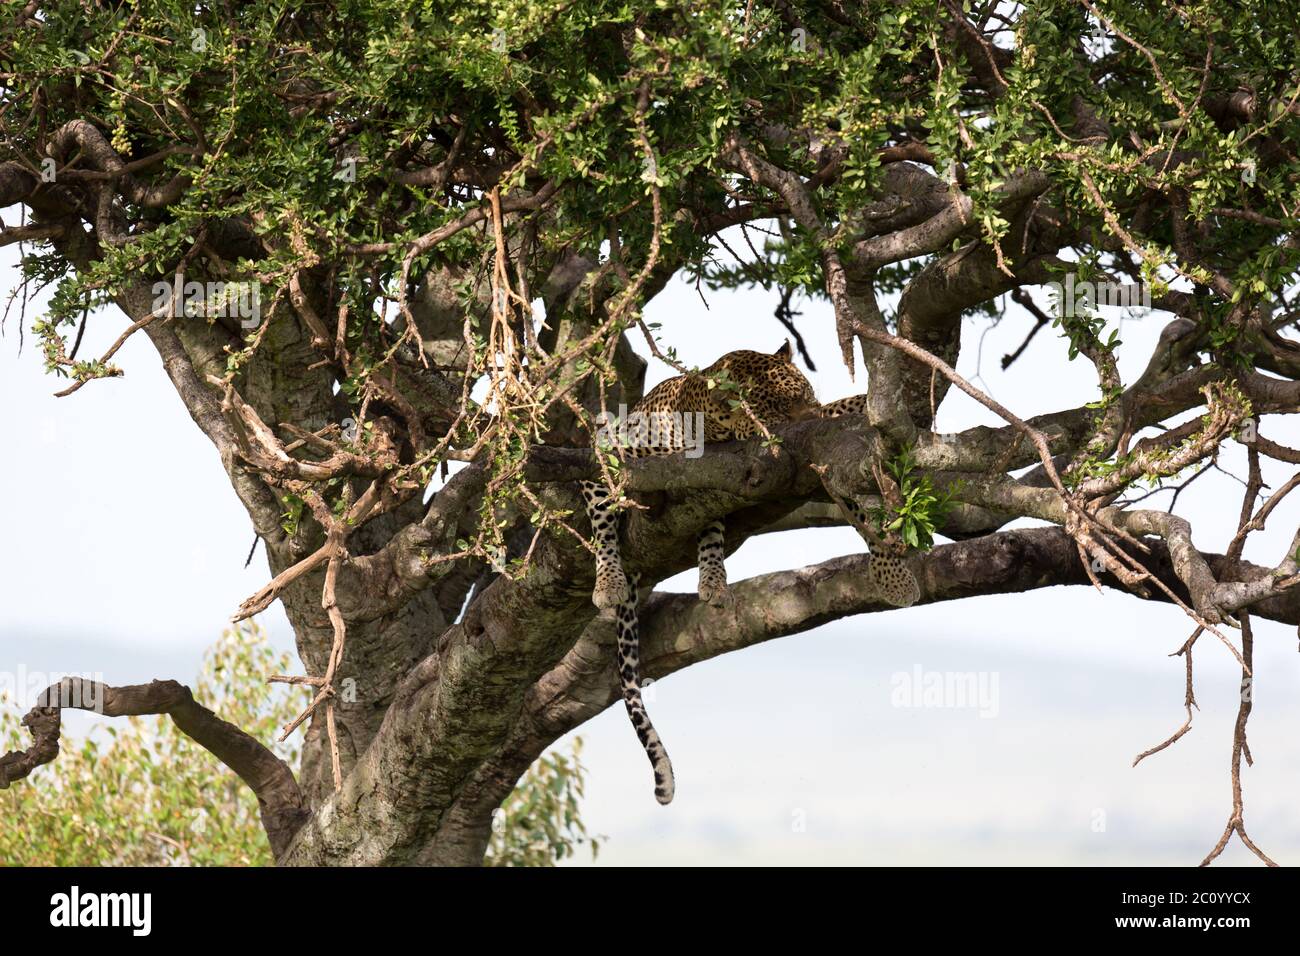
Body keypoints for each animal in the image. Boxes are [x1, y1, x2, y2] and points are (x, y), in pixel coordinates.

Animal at [580, 341, 921, 805]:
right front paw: (608, 580)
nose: (809, 417)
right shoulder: (612, 457)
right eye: (776, 405)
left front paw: (892, 573)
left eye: (806, 394)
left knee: (709, 529)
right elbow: (603, 512)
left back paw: (713, 583)